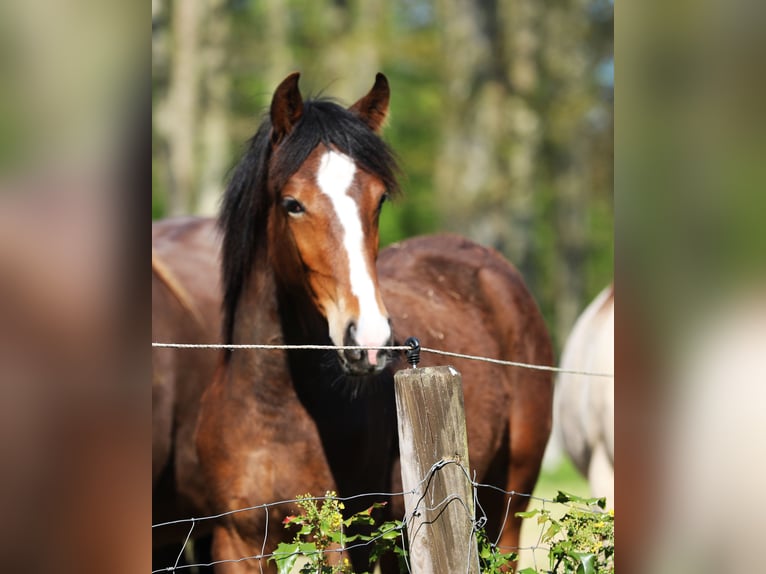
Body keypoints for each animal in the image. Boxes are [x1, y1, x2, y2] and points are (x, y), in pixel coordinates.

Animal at [195, 72, 554, 572]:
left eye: (379, 199)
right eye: (292, 204)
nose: (368, 339)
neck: (273, 412)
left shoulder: (344, 540)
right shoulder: (235, 543)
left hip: (509, 503)